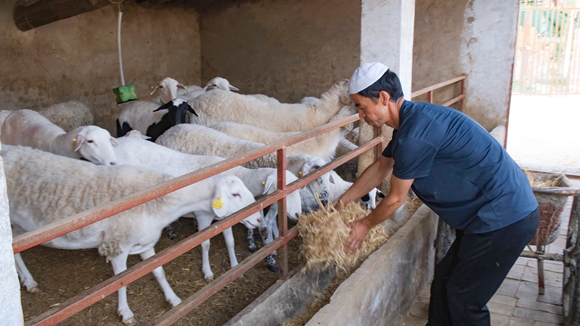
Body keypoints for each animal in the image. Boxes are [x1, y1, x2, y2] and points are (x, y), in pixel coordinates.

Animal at [3, 146, 262, 326]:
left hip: (18, 227)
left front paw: (174, 299)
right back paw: (28, 282)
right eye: (235, 194)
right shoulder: (118, 244)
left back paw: (26, 281)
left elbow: (158, 271)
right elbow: (122, 280)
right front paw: (126, 314)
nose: (260, 219)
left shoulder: (147, 243)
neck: (159, 198)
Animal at [115, 135, 302, 270]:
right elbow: (205, 244)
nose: (298, 214)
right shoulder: (204, 215)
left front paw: (234, 266)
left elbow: (230, 241)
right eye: (288, 189)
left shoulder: (227, 217)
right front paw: (207, 271)